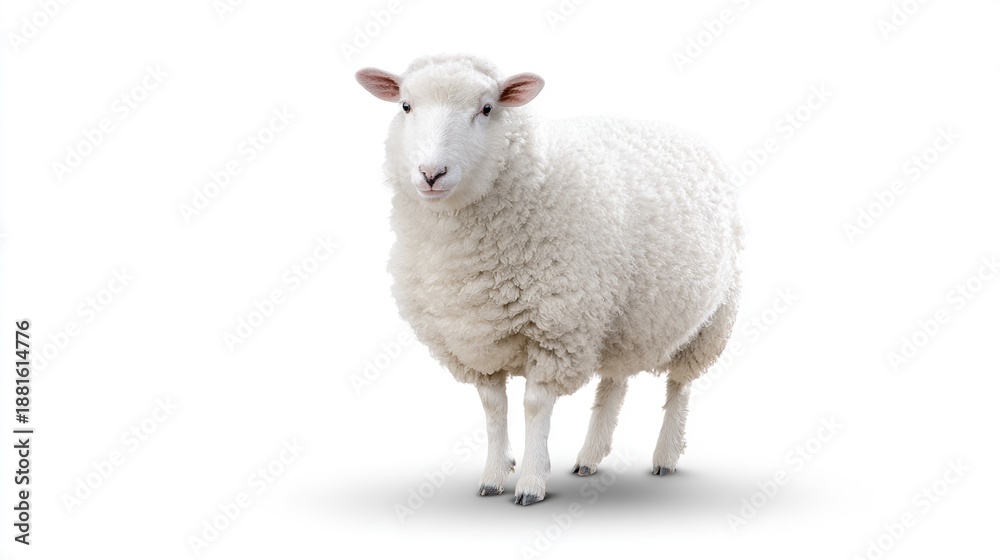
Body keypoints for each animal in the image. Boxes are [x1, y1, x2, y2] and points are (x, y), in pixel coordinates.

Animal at [356, 54, 743, 506]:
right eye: (405, 106)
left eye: (487, 108)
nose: (431, 173)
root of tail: (678, 130)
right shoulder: (473, 336)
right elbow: (493, 407)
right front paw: (493, 475)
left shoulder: (557, 331)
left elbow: (536, 407)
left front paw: (531, 481)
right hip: (622, 317)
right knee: (614, 382)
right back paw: (591, 456)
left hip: (709, 320)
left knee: (679, 387)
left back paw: (665, 455)